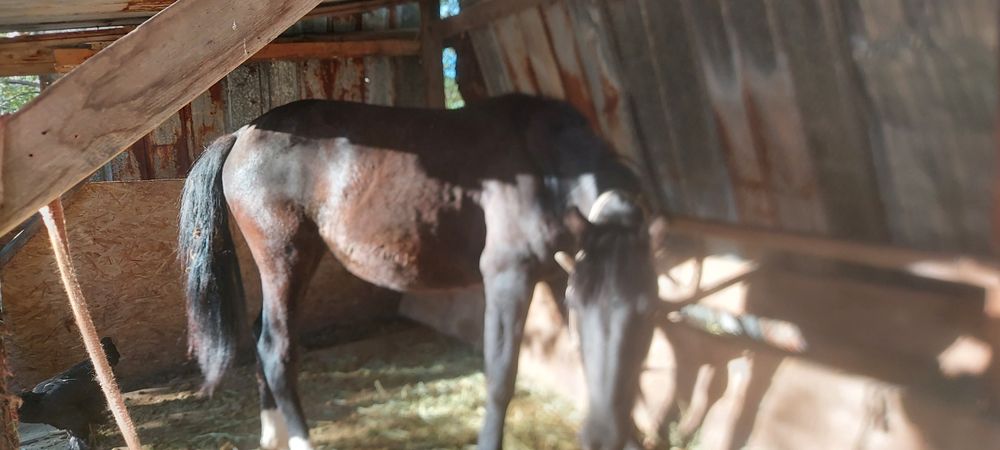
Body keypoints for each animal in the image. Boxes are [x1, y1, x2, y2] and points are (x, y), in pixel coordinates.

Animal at [177, 93, 662, 450]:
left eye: (648, 312)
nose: (603, 437)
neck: (544, 165)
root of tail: (241, 133)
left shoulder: (563, 274)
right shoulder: (509, 277)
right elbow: (501, 376)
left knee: (262, 336)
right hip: (286, 255)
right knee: (276, 348)